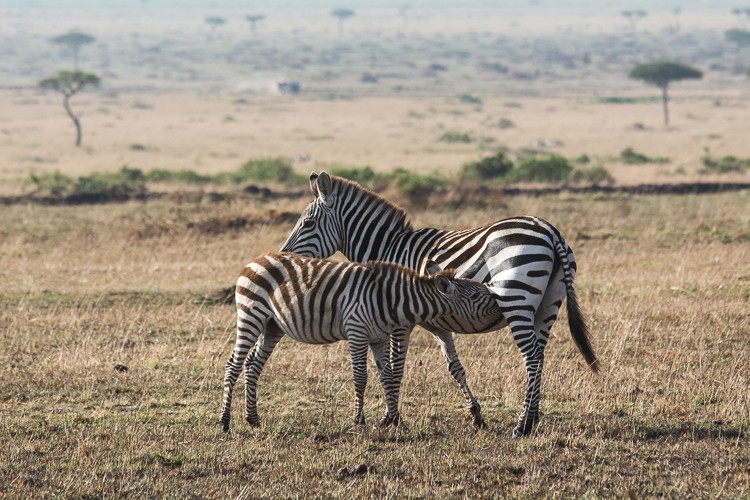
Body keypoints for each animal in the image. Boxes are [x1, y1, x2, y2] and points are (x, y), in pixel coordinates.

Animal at [220, 252, 502, 432]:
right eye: (476, 295)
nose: (500, 300)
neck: (389, 299)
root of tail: (256, 259)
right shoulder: (357, 332)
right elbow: (361, 377)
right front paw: (359, 420)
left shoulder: (379, 338)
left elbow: (388, 377)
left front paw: (395, 421)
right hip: (251, 314)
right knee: (233, 365)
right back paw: (224, 422)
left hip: (272, 326)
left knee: (253, 365)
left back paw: (252, 419)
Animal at [280, 172, 604, 438]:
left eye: (307, 223)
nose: (283, 256)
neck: (388, 249)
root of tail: (549, 230)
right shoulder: (438, 323)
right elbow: (454, 367)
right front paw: (476, 415)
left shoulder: (400, 319)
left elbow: (394, 366)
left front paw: (391, 418)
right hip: (548, 305)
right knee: (540, 355)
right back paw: (533, 419)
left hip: (516, 299)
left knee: (531, 357)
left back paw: (522, 425)